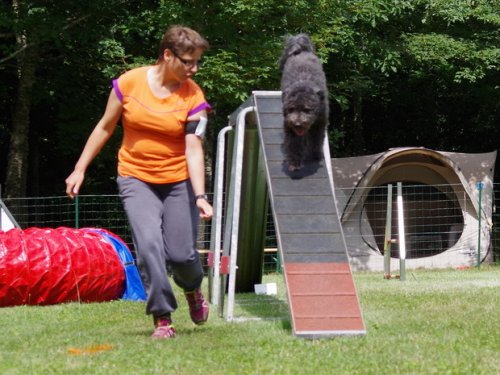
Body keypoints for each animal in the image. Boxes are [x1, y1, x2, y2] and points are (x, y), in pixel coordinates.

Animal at [280, 33, 330, 172]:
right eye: (291, 109)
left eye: (307, 109)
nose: (297, 124)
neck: (303, 84)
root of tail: (301, 49)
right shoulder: (289, 126)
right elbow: (294, 144)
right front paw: (294, 162)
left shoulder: (320, 123)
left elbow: (316, 141)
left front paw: (316, 156)